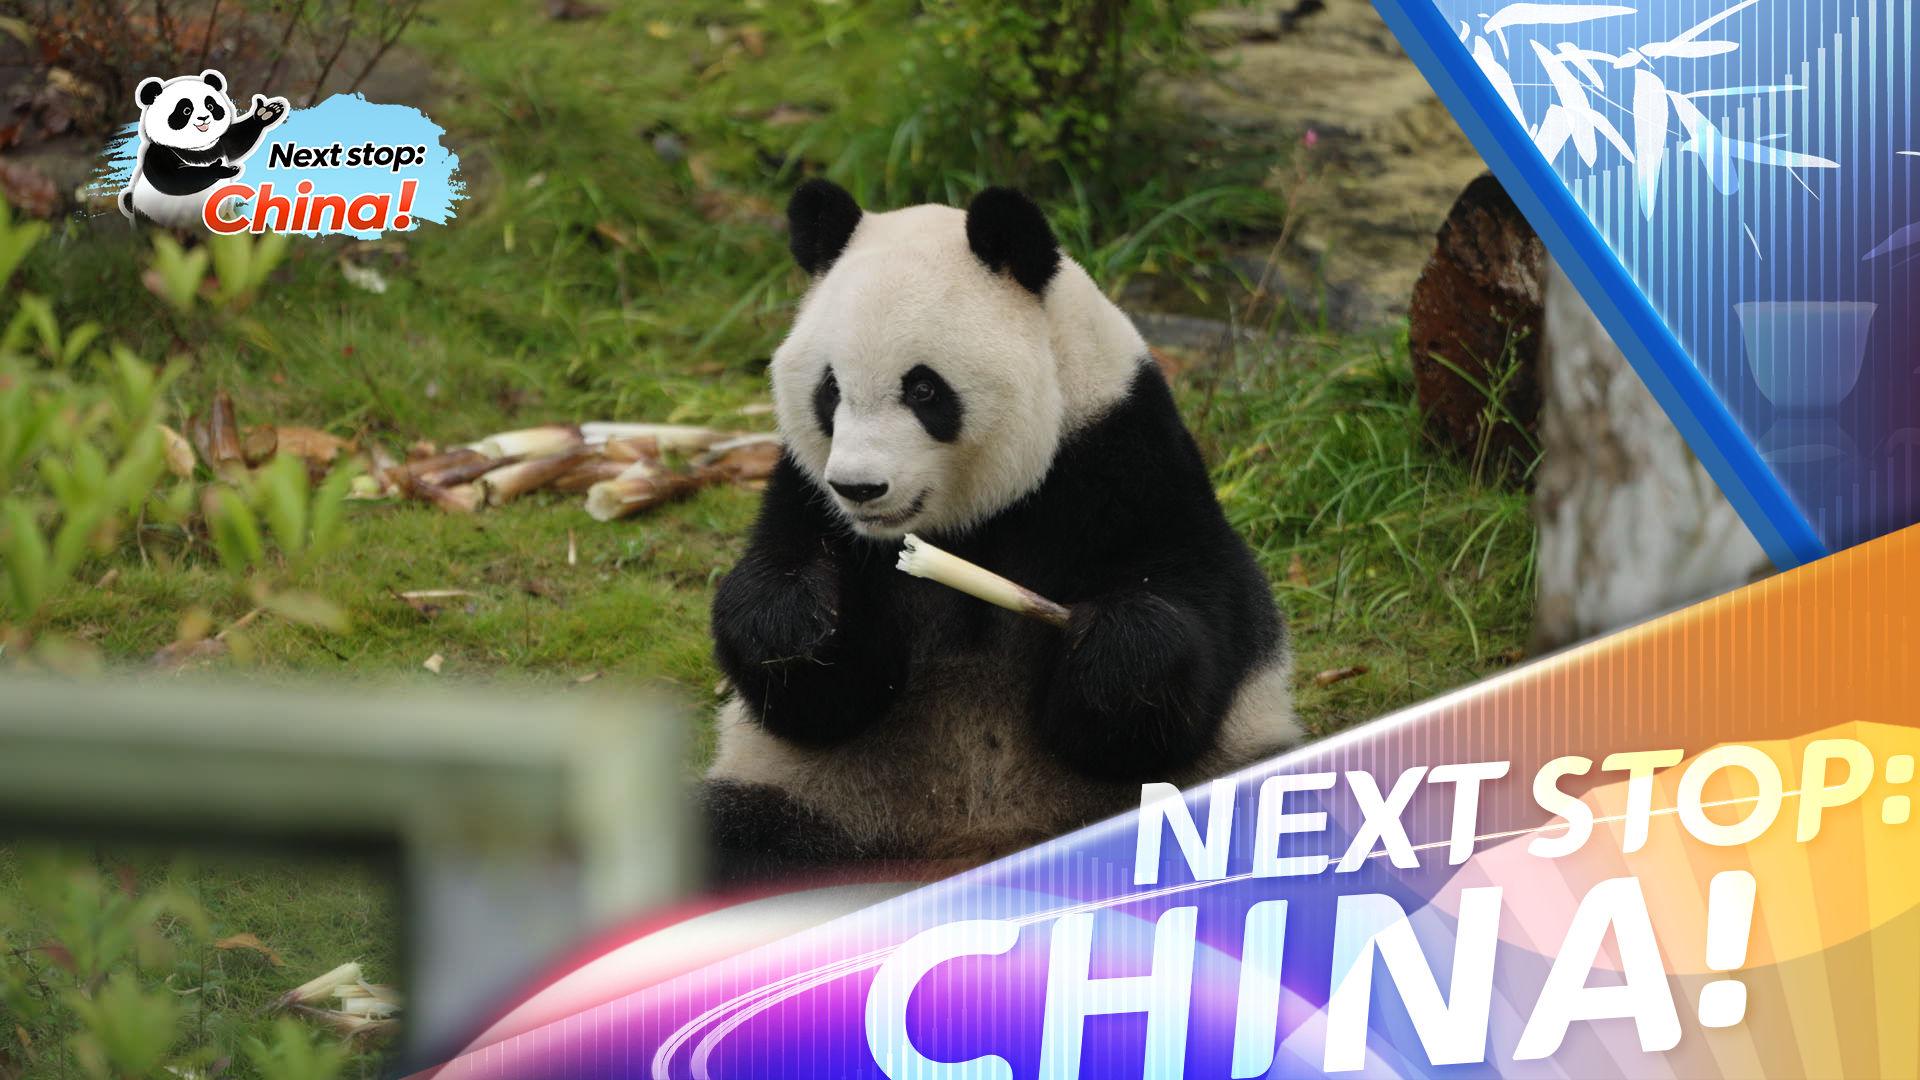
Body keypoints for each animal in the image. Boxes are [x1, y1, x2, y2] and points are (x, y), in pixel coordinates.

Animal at [119, 70, 288, 228]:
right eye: (186, 110)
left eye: (210, 106)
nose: (204, 118)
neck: (196, 147)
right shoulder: (159, 153)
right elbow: (175, 179)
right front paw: (220, 169)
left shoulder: (219, 145)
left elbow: (236, 141)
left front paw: (266, 114)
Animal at [703, 179, 1303, 882]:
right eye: (830, 390)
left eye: (924, 389)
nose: (859, 488)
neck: (965, 521)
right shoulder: (805, 493)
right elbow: (821, 695)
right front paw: (796, 622)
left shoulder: (1127, 460)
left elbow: (1185, 631)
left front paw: (1109, 647)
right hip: (819, 799)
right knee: (728, 834)